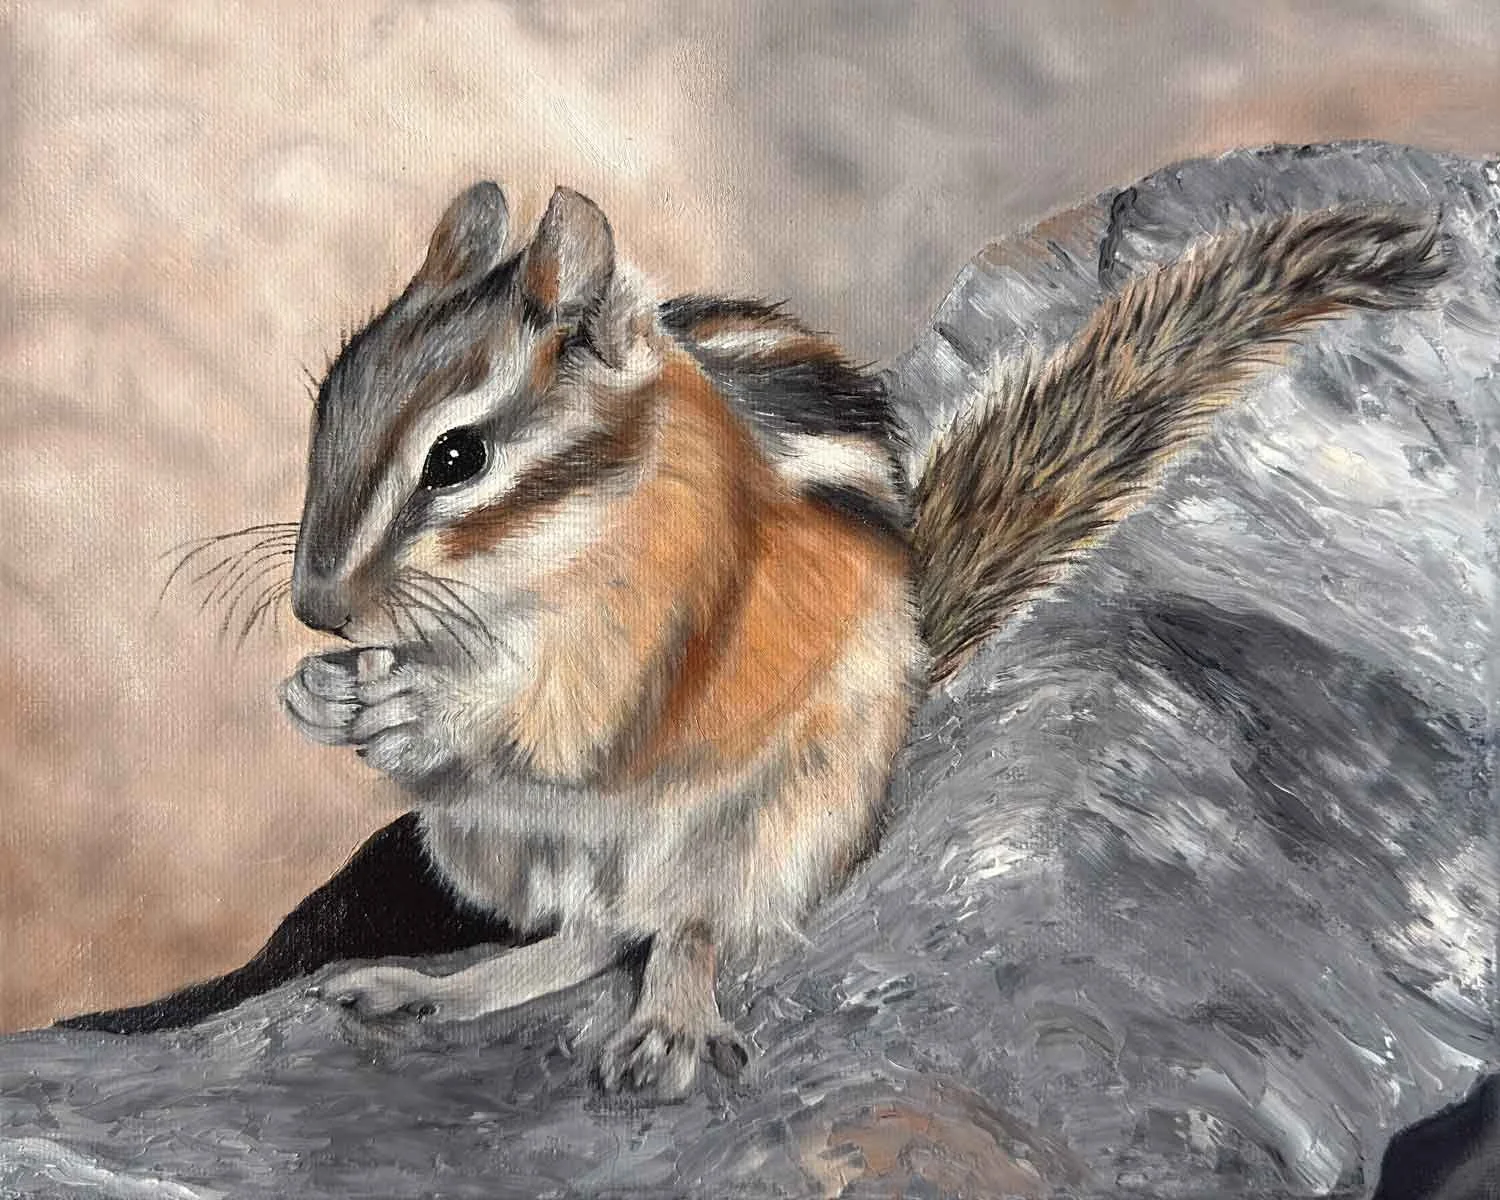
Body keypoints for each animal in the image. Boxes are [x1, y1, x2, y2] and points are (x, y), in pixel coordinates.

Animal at [59, 182, 1448, 1098]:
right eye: (328, 401)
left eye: (457, 458)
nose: (319, 610)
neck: (533, 574)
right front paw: (319, 696)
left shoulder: (663, 626)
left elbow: (578, 721)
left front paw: (417, 710)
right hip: (495, 846)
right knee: (589, 933)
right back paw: (432, 988)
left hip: (772, 819)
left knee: (686, 929)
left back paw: (669, 1025)